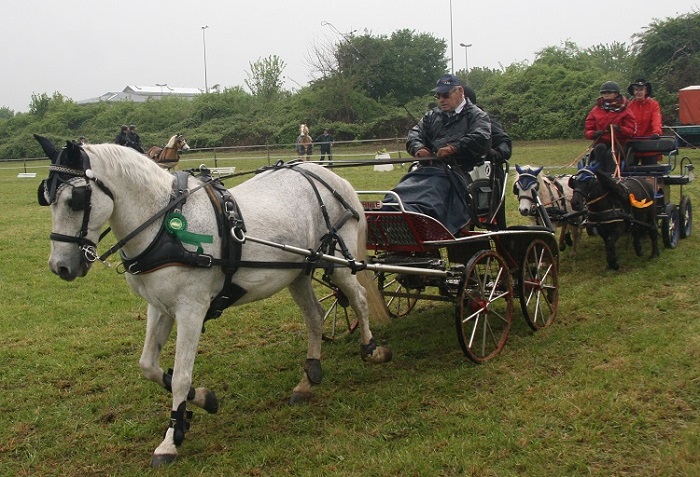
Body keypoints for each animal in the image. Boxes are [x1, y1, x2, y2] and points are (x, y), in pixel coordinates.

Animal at [35, 134, 392, 464]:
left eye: (76, 199)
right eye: (46, 197)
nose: (60, 266)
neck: (163, 225)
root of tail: (327, 175)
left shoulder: (191, 310)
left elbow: (180, 377)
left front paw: (171, 438)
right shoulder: (158, 307)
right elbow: (148, 366)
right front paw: (204, 400)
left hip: (339, 263)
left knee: (359, 298)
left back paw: (372, 349)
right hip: (298, 272)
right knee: (315, 316)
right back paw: (307, 379)